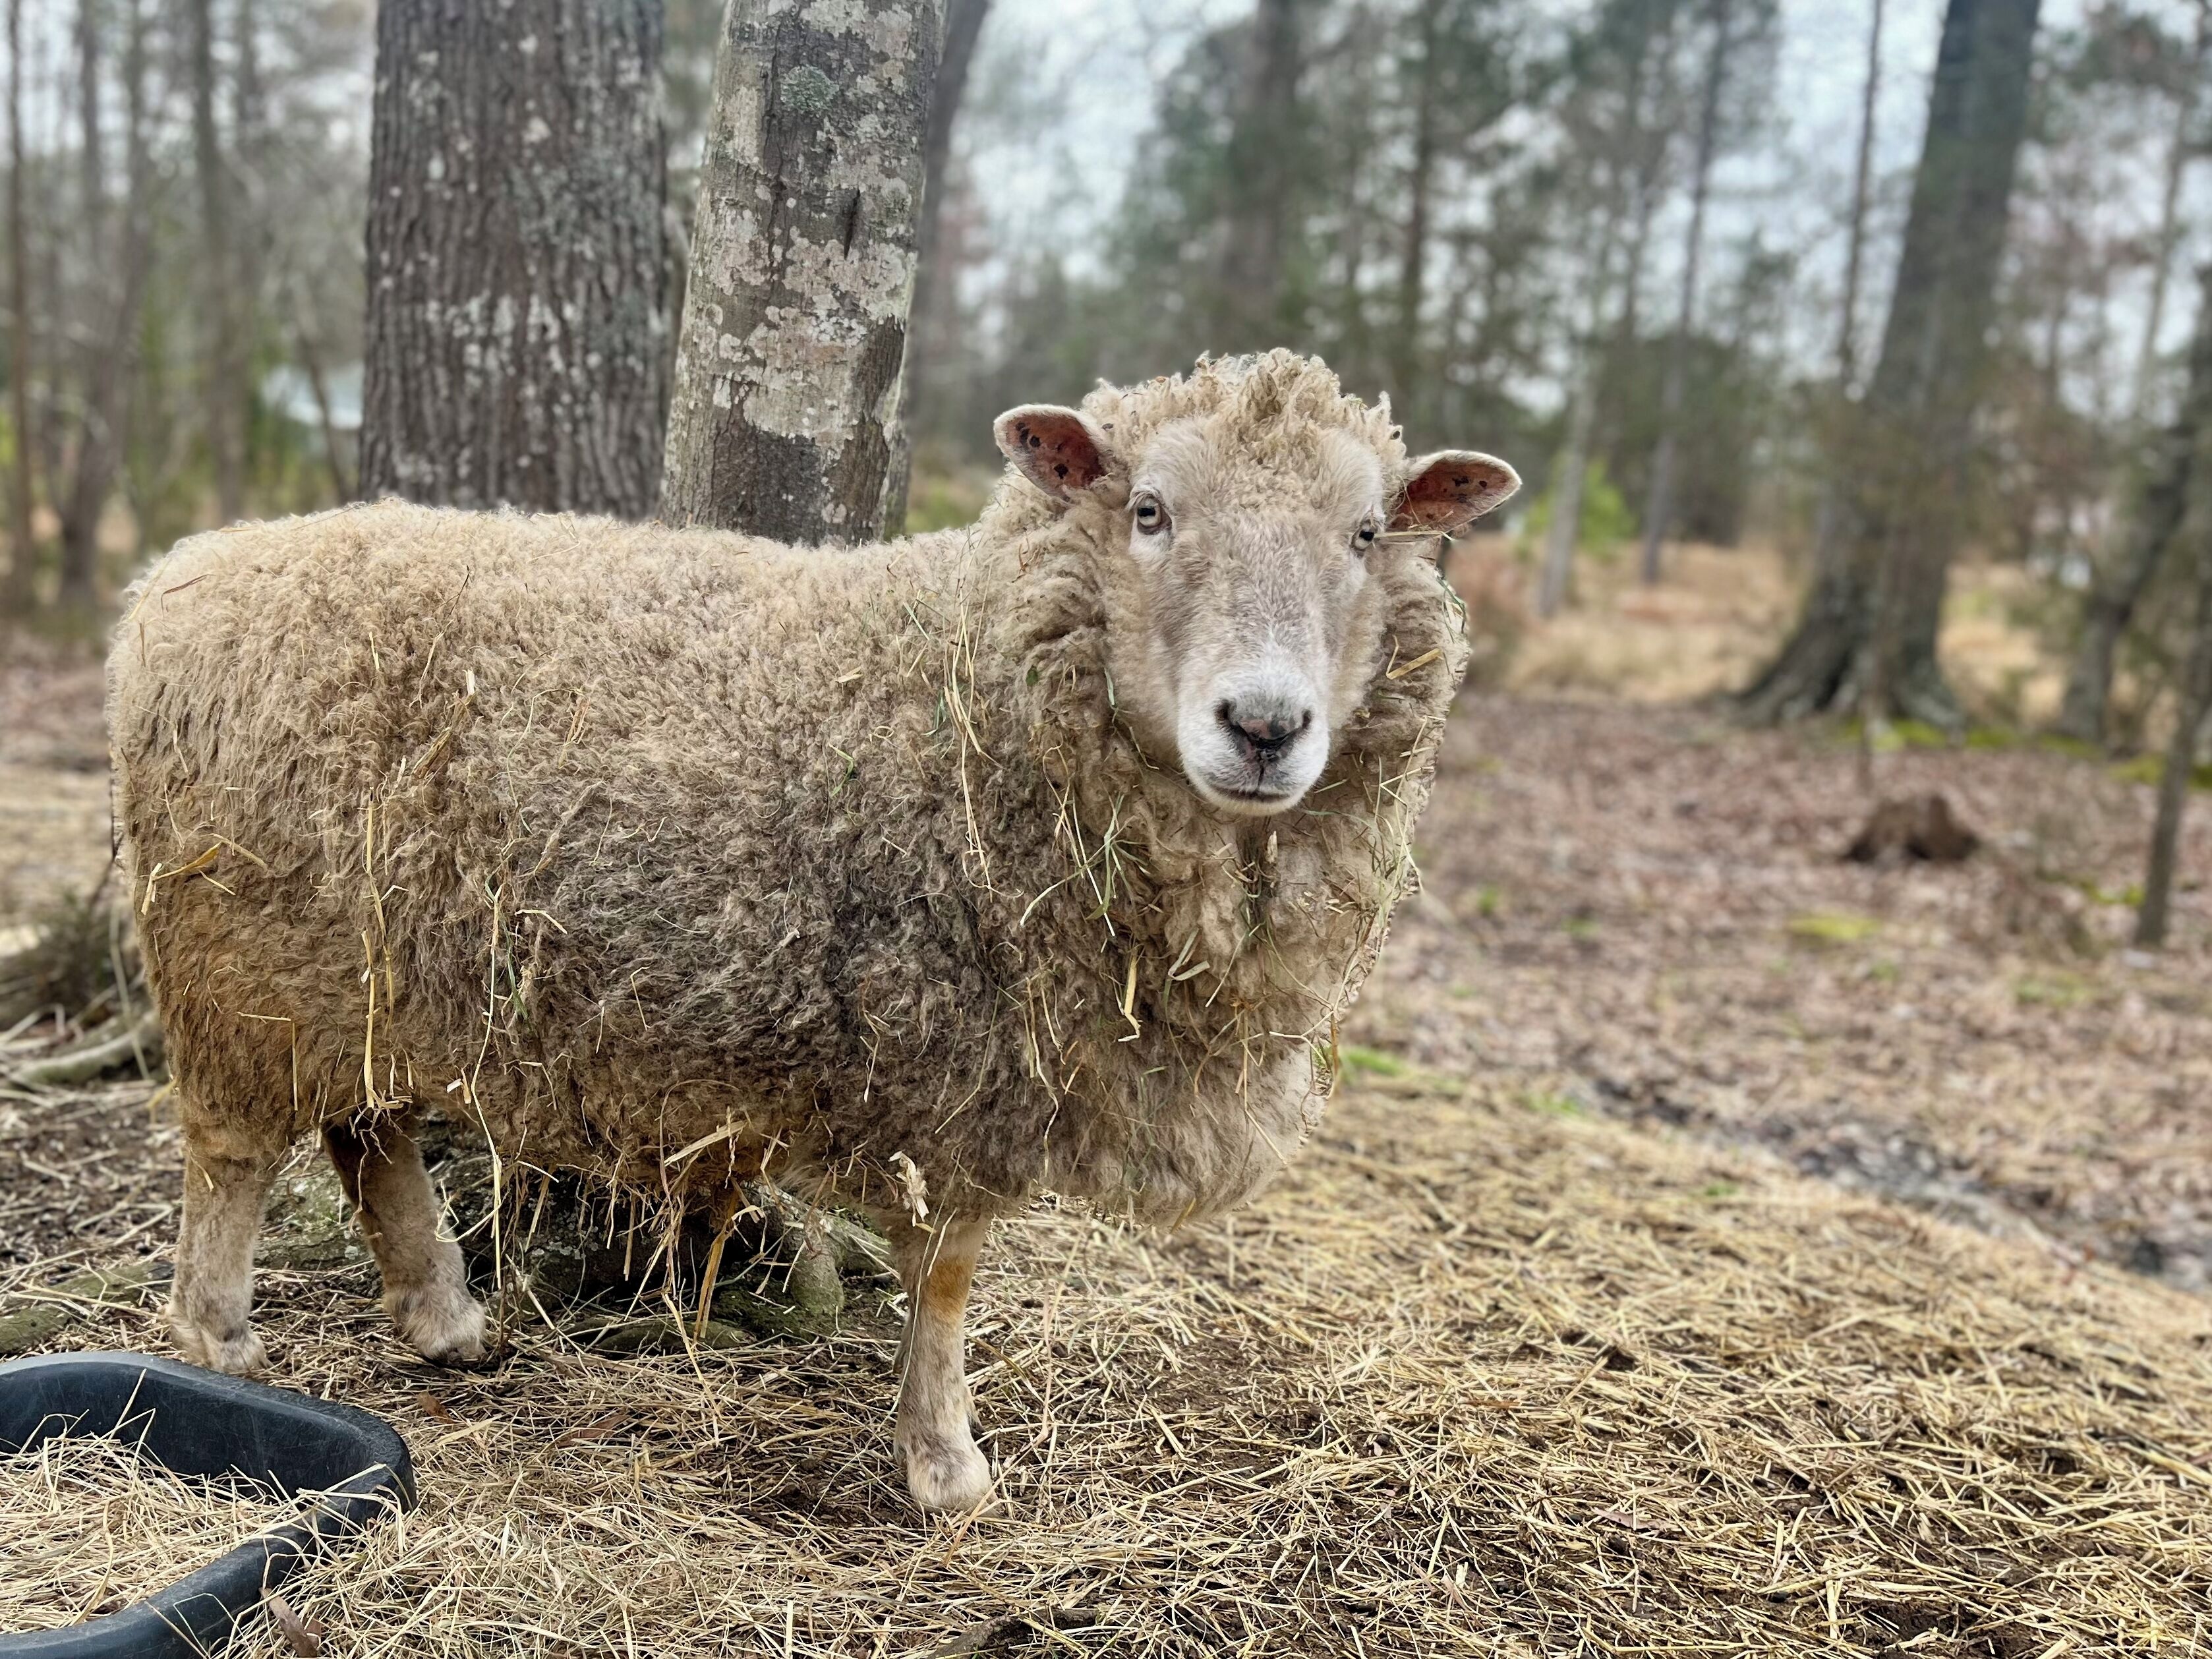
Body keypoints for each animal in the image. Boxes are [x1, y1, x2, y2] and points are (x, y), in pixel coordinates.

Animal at [108, 350, 1518, 1512]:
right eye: (1149, 511)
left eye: (1368, 531)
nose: (1265, 726)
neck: (980, 675)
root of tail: (174, 578)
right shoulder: (956, 1056)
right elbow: (945, 1274)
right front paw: (944, 1462)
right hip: (244, 952)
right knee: (235, 1152)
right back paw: (218, 1331)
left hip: (379, 957)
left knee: (369, 1128)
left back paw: (445, 1315)